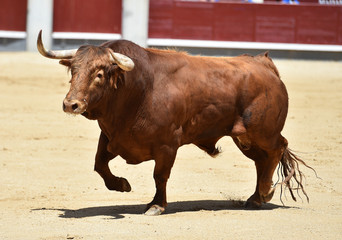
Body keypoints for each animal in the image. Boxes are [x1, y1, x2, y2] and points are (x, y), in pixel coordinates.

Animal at [37, 30, 312, 216]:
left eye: (100, 74)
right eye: (73, 70)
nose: (71, 104)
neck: (138, 88)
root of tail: (264, 64)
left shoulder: (167, 144)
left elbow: (160, 175)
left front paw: (156, 205)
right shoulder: (111, 137)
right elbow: (99, 165)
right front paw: (122, 185)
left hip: (262, 132)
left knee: (276, 149)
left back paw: (265, 191)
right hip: (243, 137)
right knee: (261, 161)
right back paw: (256, 198)